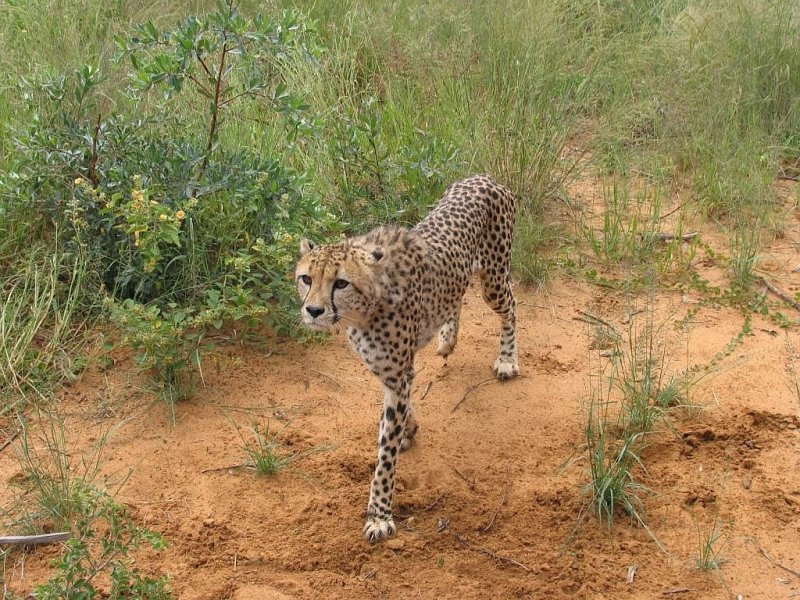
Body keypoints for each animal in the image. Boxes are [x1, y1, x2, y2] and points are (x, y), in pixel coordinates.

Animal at [294, 175, 520, 544]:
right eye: (306, 279)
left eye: (340, 282)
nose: (313, 310)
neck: (365, 309)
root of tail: (484, 177)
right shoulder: (390, 370)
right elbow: (400, 409)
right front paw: (408, 429)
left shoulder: (396, 371)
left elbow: (385, 455)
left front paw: (379, 515)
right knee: (456, 296)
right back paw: (447, 338)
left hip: (494, 277)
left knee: (511, 306)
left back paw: (507, 359)